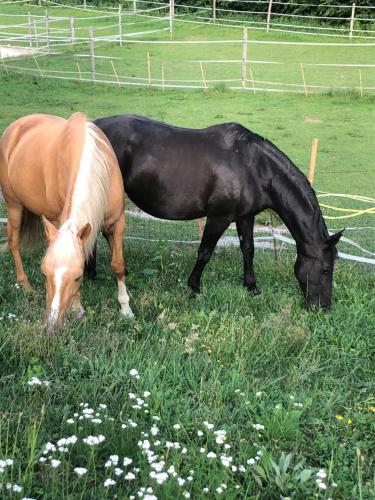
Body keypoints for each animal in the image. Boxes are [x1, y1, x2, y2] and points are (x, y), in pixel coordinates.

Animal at [0, 114, 134, 330]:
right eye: (44, 274)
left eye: (78, 277)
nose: (52, 325)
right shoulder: (57, 220)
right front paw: (78, 308)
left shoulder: (117, 223)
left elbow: (118, 265)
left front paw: (126, 309)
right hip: (14, 205)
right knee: (13, 241)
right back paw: (25, 285)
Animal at [88, 114, 344, 308]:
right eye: (325, 270)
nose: (323, 306)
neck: (254, 167)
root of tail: (93, 125)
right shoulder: (219, 217)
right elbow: (205, 252)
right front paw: (193, 287)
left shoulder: (245, 216)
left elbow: (248, 249)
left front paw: (251, 286)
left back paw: (94, 274)